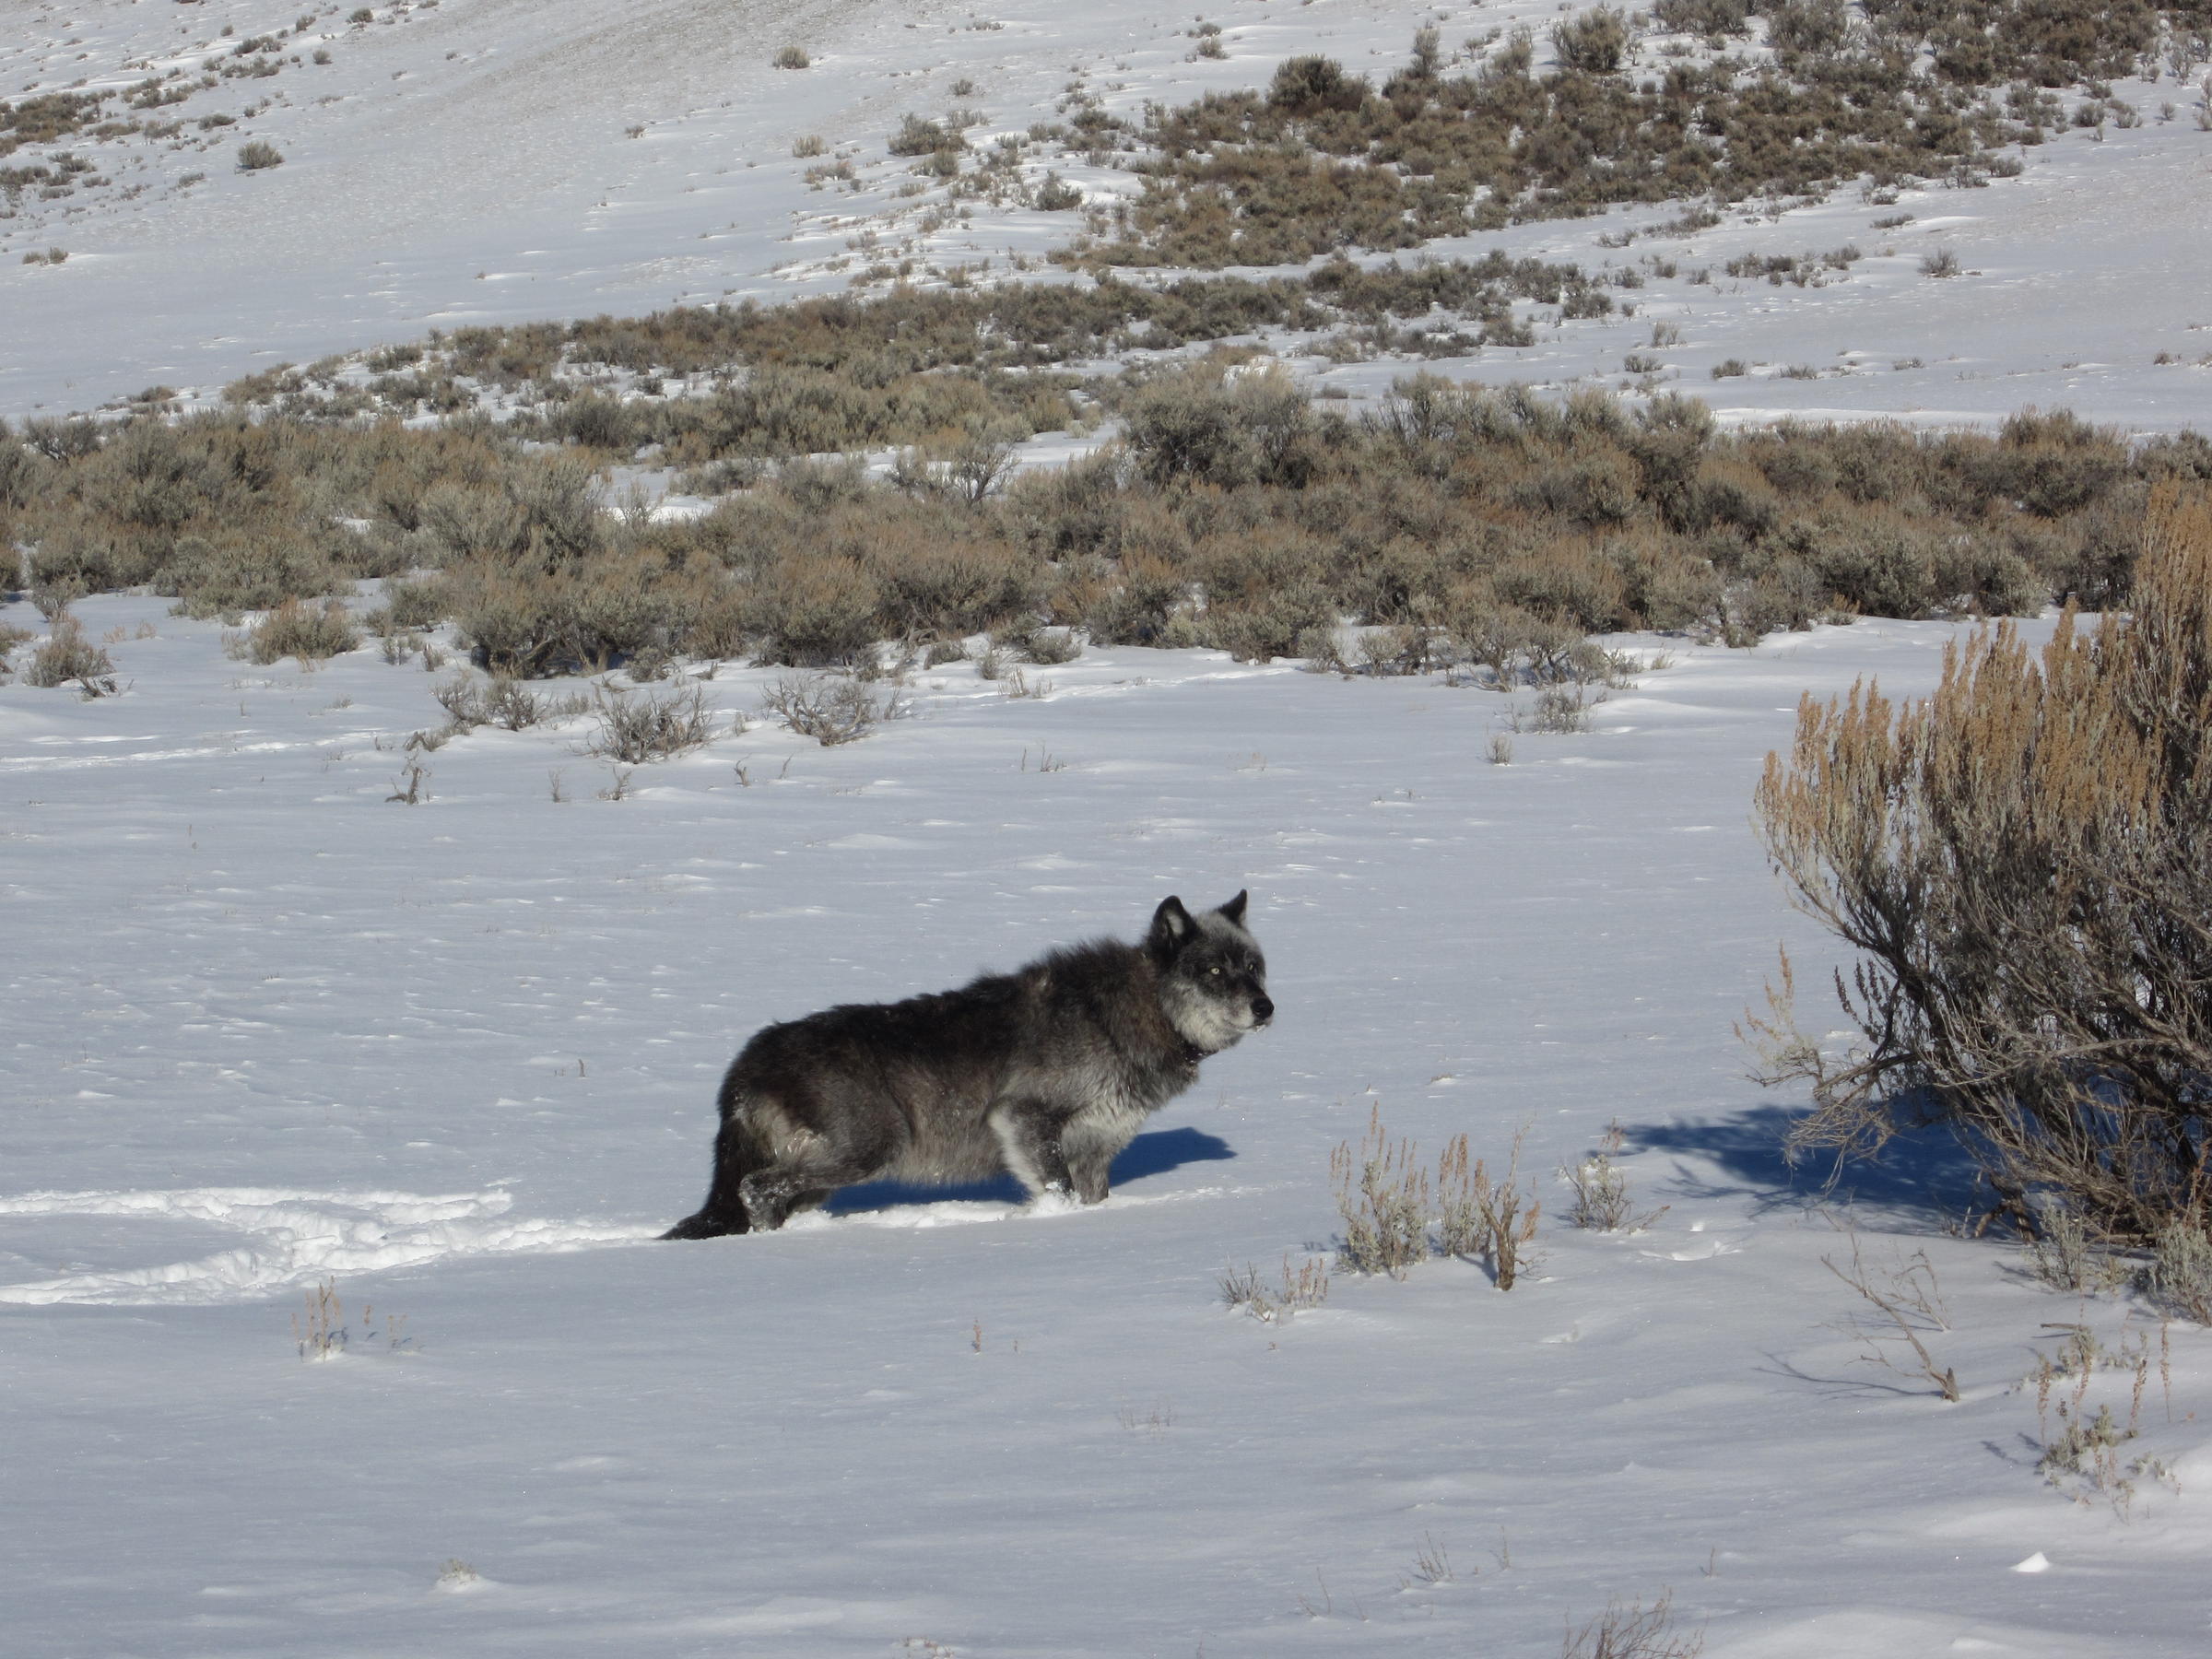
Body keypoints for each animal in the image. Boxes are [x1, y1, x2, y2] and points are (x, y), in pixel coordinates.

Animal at [663, 892, 1271, 1238]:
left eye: (1253, 966)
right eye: (1214, 971)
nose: (1266, 1007)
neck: (1121, 1015)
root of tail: (747, 1062)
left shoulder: (1097, 1149)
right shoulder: (1024, 1118)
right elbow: (1057, 1192)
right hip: (868, 1150)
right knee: (756, 1189)